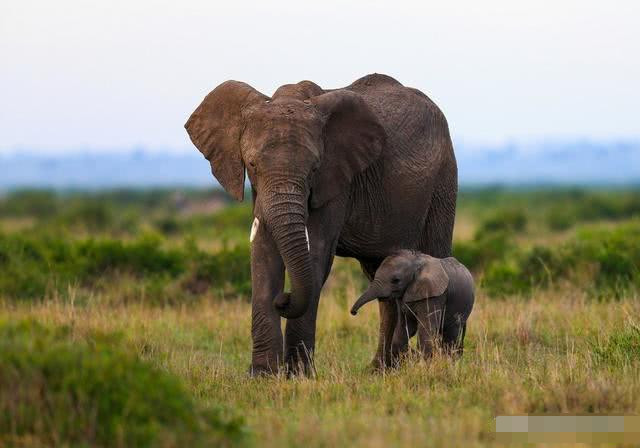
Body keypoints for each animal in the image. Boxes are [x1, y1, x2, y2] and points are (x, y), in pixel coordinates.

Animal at [182, 74, 458, 374]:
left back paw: (438, 362)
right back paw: (381, 370)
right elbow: (262, 252)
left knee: (435, 258)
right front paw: (263, 375)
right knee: (383, 280)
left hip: (443, 180)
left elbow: (316, 251)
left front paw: (298, 375)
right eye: (252, 165)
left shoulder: (337, 180)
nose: (284, 299)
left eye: (314, 168)